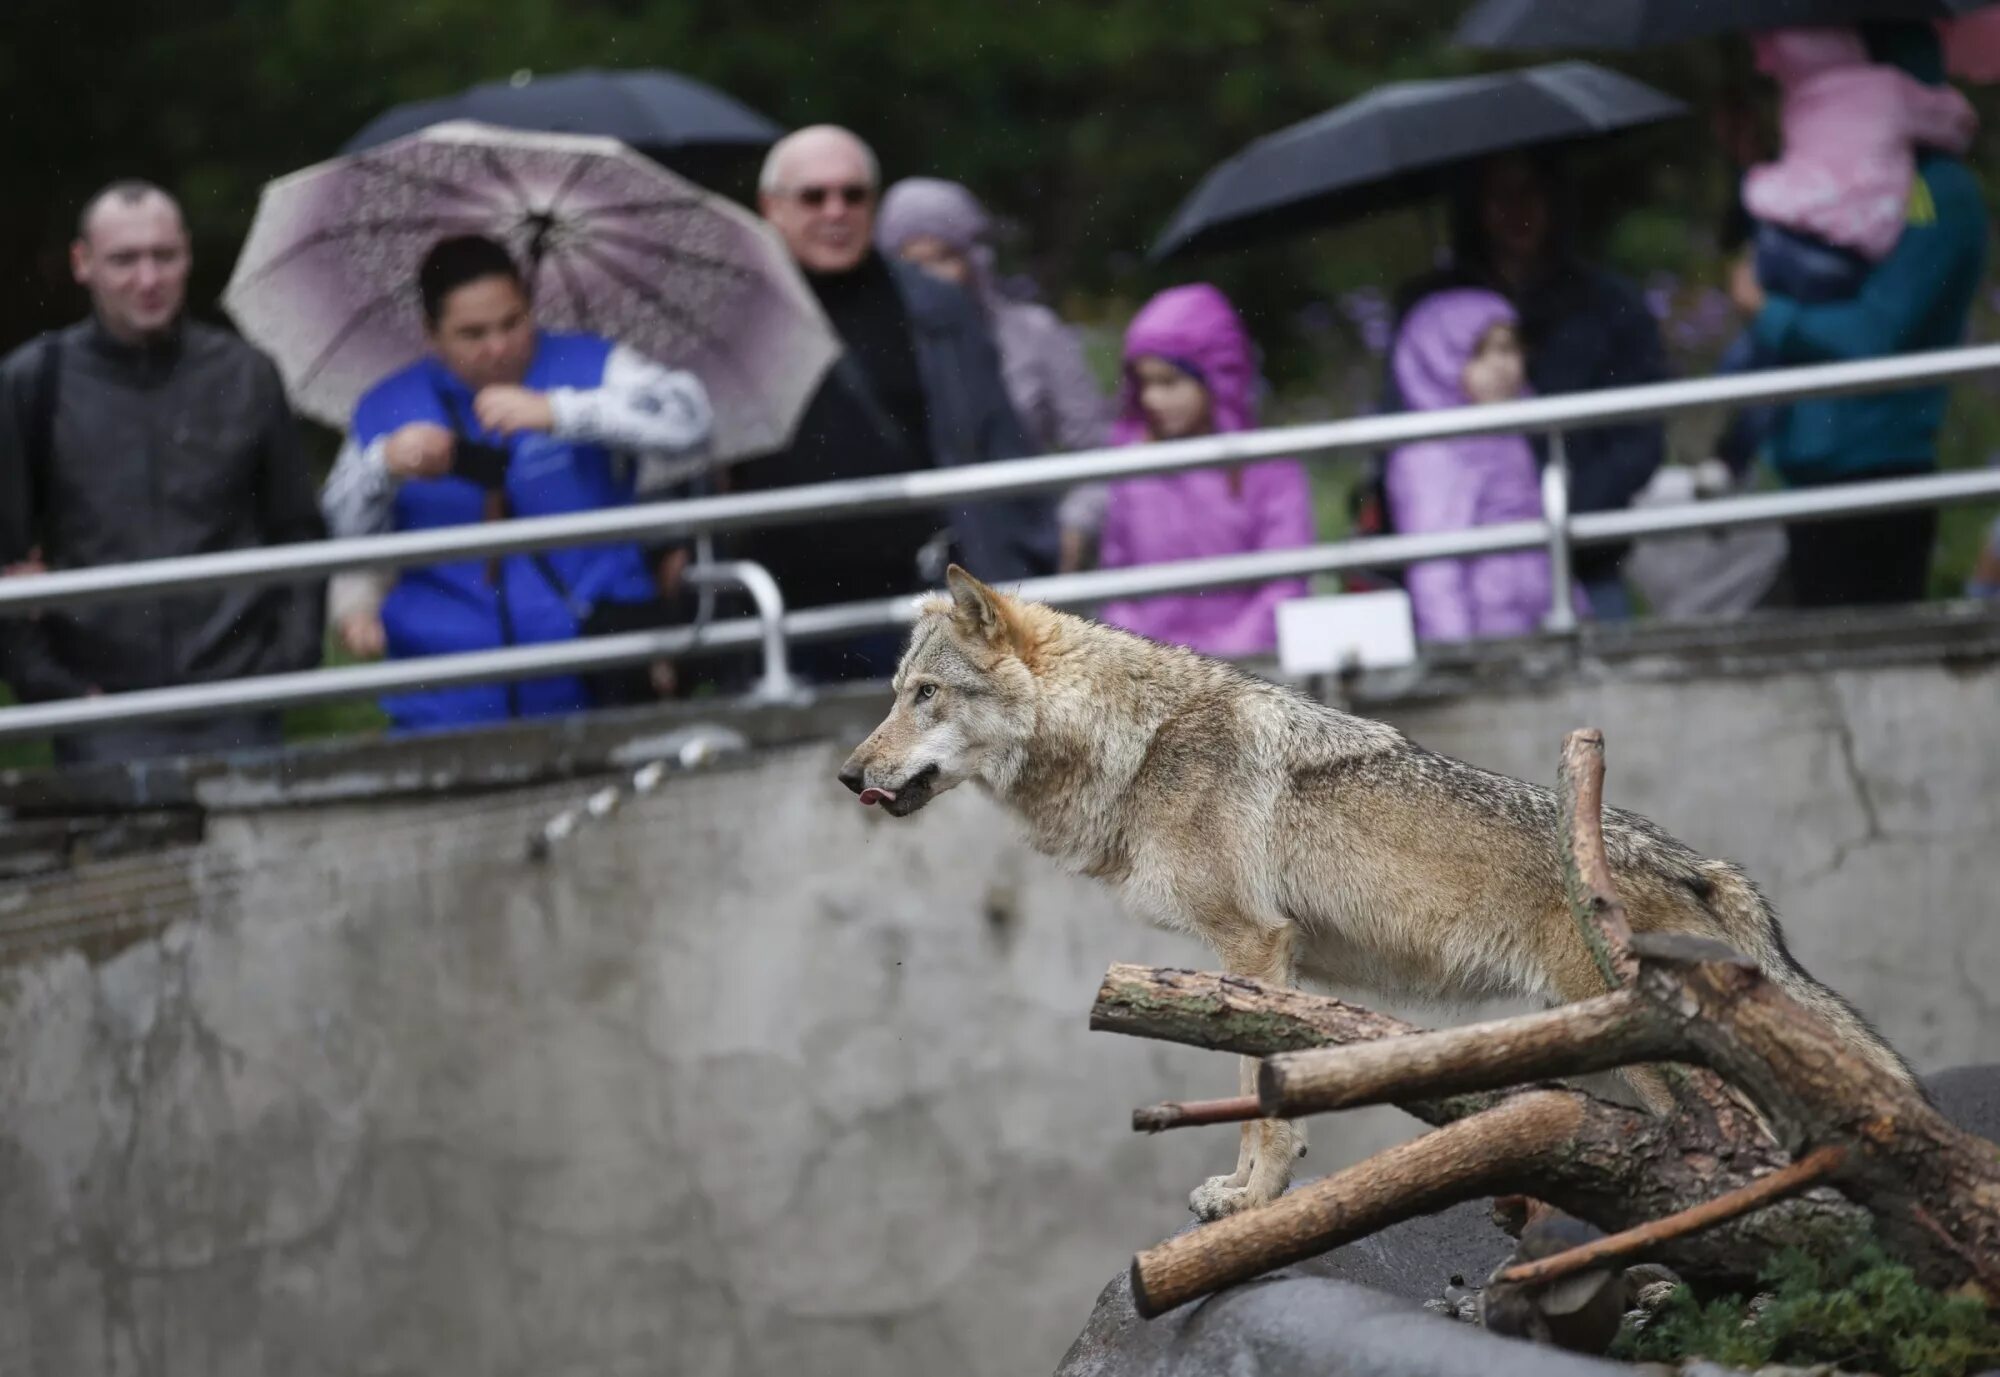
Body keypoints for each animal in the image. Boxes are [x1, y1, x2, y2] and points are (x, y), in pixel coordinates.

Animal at [836, 568, 1912, 1216]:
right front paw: (1243, 1195)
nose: (848, 776)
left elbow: (1257, 1101)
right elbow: (1260, 1092)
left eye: (926, 696)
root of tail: (1707, 867)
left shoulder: (1253, 945)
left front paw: (1251, 1203)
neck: (1134, 748)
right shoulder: (1265, 965)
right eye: (891, 694)